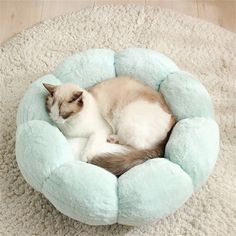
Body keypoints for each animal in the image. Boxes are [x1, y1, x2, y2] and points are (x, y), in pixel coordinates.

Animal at [42, 76, 175, 176]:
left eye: (63, 114)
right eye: (51, 110)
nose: (55, 119)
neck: (72, 123)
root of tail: (173, 119)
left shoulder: (102, 129)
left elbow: (91, 143)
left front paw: (85, 157)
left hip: (127, 120)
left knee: (138, 146)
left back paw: (112, 139)